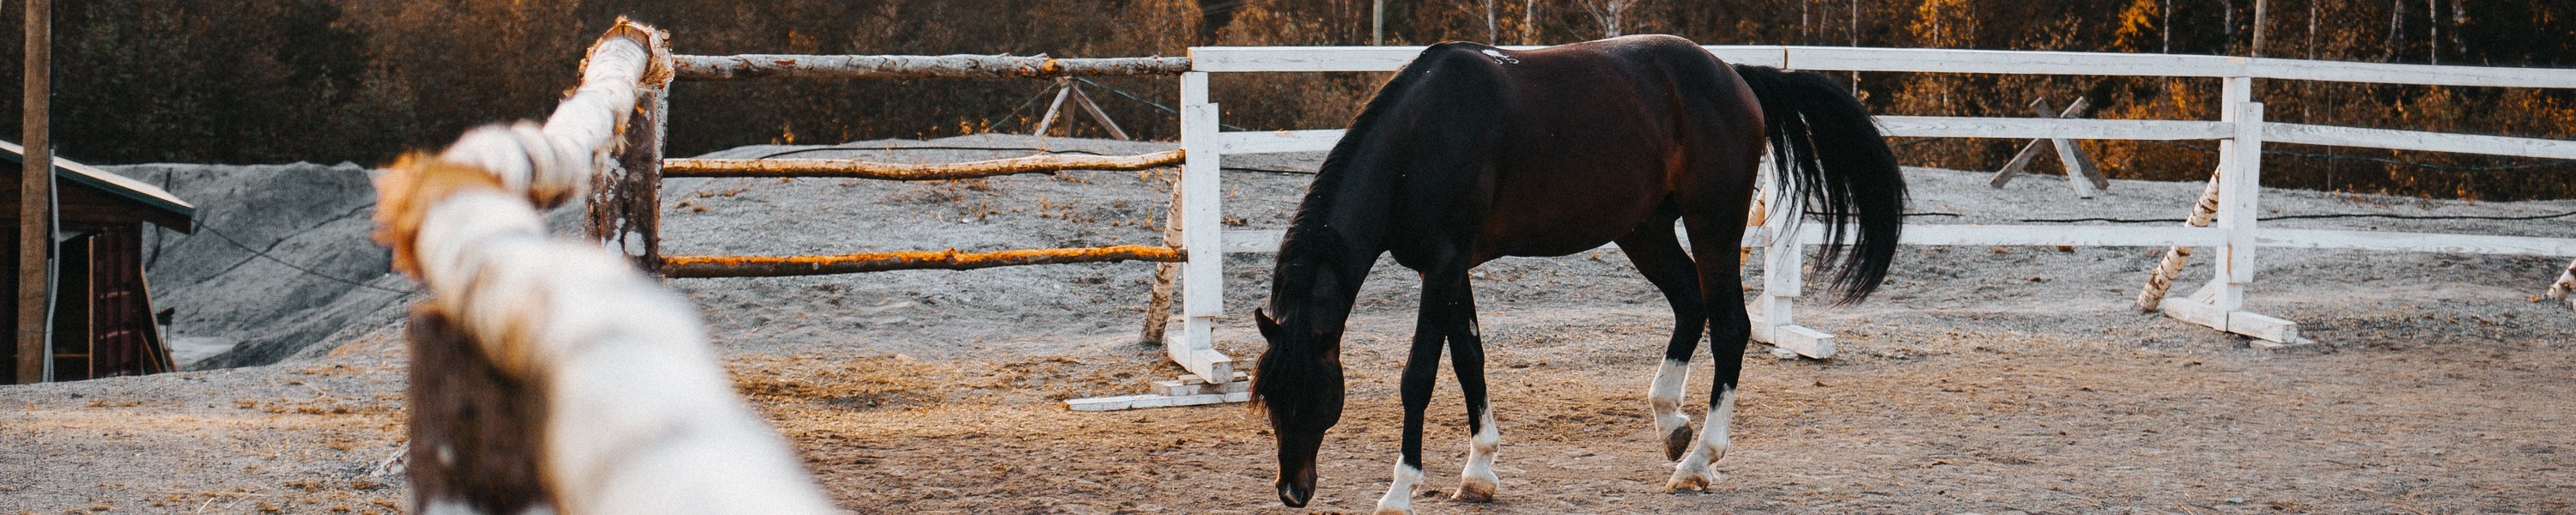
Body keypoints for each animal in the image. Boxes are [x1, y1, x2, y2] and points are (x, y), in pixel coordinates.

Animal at [1246, 35, 1906, 513]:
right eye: (1270, 397)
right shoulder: (1454, 269)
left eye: (1317, 394)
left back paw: (1699, 462)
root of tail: (1734, 75)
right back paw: (1671, 424)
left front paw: (1400, 490)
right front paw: (1479, 470)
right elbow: (1469, 361)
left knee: (1730, 327)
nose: (1293, 492)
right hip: (1644, 229)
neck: (1423, 136)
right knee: (1690, 304)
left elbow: (1419, 377)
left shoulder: (1442, 265)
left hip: (1712, 223)